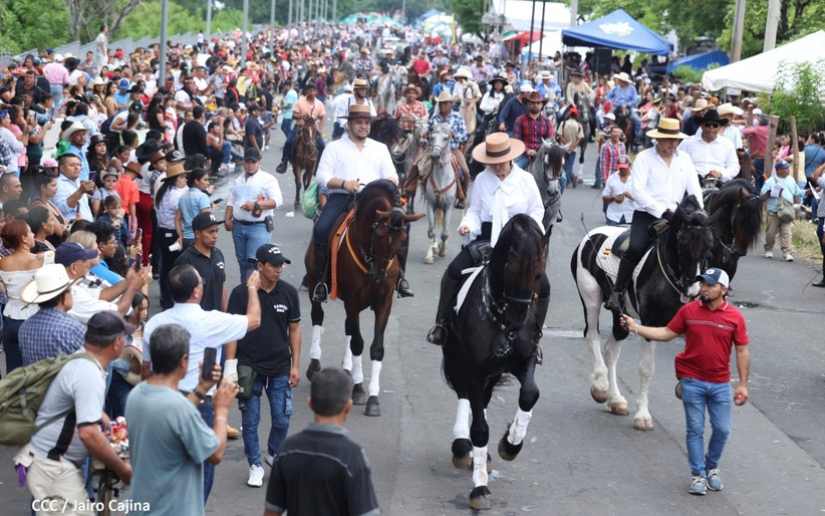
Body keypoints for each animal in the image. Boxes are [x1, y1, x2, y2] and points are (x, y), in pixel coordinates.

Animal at [302, 180, 422, 416]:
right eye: (381, 234)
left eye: (403, 240)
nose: (379, 277)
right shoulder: (353, 301)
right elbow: (358, 343)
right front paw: (358, 389)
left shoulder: (384, 303)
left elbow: (376, 348)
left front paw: (373, 399)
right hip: (313, 285)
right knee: (318, 317)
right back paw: (315, 366)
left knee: (348, 328)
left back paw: (347, 370)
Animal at [440, 215, 552, 512]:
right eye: (510, 265)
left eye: (538, 272)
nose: (518, 320)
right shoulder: (474, 369)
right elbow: (480, 428)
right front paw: (479, 489)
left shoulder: (524, 360)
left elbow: (529, 394)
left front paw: (510, 444)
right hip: (458, 359)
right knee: (465, 396)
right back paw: (462, 446)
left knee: (484, 400)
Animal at [568, 198, 712, 432]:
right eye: (682, 242)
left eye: (710, 244)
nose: (694, 289)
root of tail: (592, 235)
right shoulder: (650, 325)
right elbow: (646, 369)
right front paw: (643, 416)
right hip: (590, 297)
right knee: (592, 335)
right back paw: (600, 386)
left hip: (621, 314)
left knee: (611, 349)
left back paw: (615, 400)